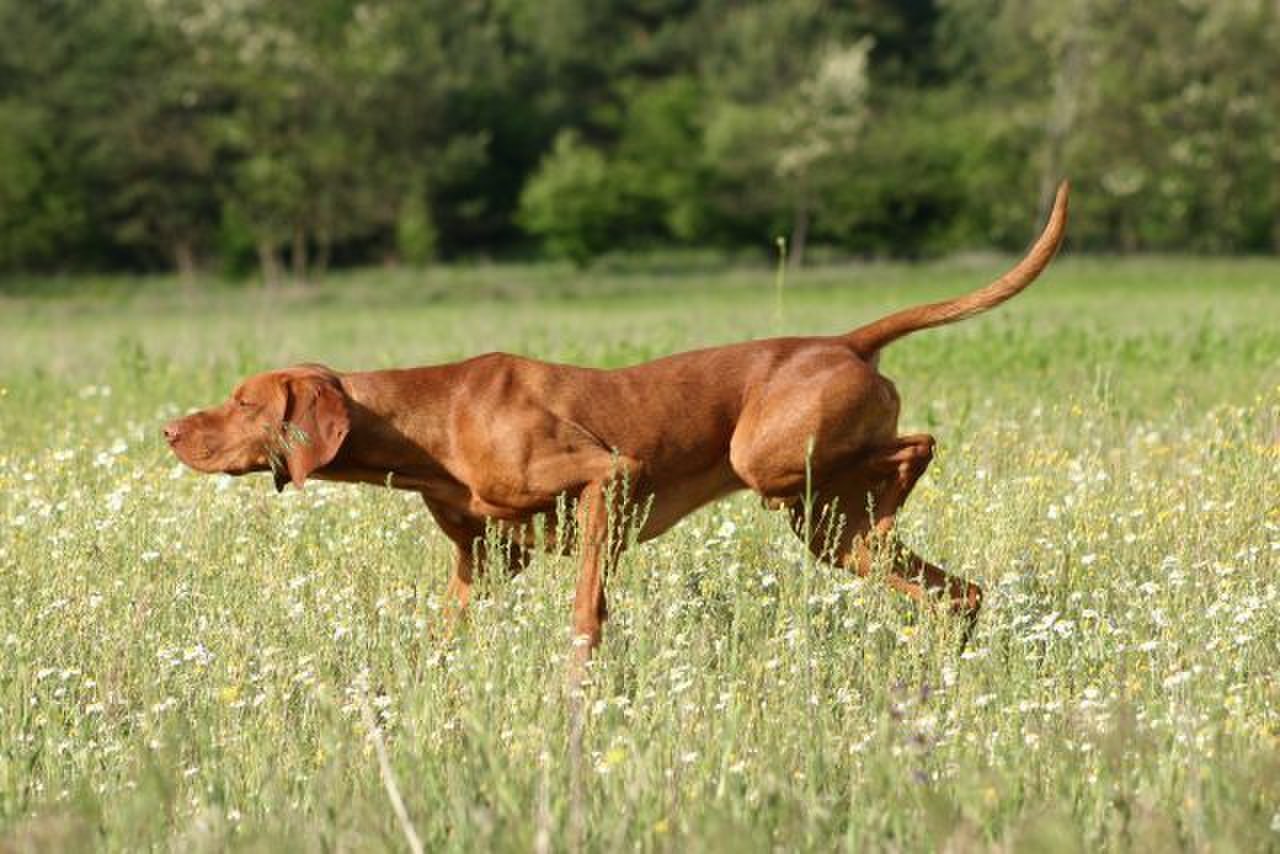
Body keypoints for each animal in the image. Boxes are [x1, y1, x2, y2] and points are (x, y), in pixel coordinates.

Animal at [167, 180, 1070, 660]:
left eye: (244, 403)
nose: (171, 432)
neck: (431, 417)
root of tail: (844, 340)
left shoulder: (607, 478)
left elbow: (585, 608)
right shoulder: (487, 559)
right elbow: (450, 626)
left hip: (773, 464)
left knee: (919, 445)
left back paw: (903, 488)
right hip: (824, 524)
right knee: (957, 587)